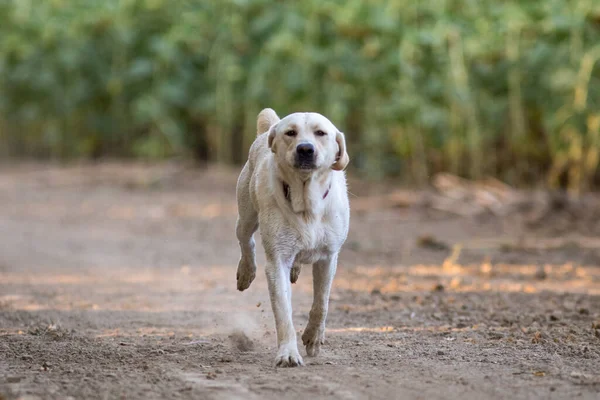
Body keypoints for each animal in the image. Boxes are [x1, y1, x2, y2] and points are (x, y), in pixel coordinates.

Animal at [233, 108, 350, 368]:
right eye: (290, 133)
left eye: (320, 133)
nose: (305, 149)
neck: (306, 204)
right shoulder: (277, 261)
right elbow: (283, 312)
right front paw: (288, 353)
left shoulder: (329, 257)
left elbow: (322, 303)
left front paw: (313, 338)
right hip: (247, 214)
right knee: (245, 239)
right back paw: (246, 272)